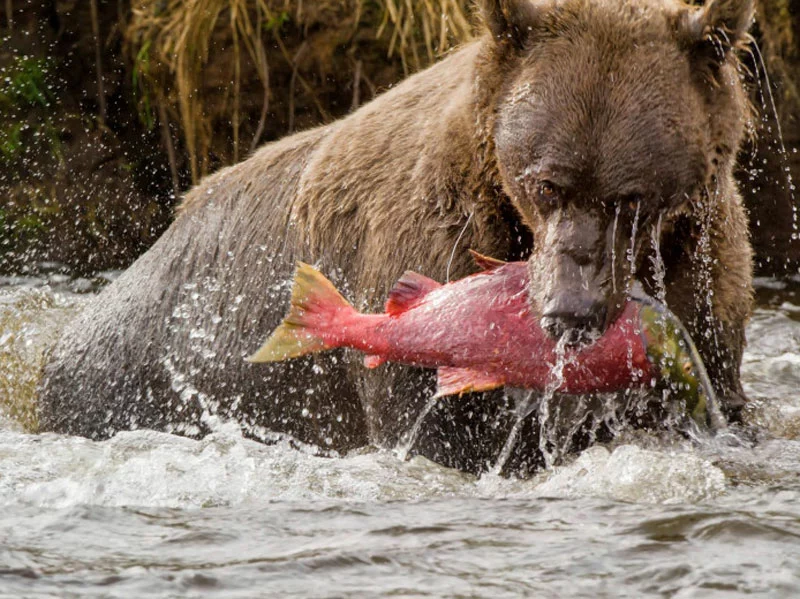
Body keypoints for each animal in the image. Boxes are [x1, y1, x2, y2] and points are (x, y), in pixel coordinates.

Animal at [37, 1, 752, 478]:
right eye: (547, 184)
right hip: (138, 381)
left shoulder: (701, 271)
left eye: (629, 197)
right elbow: (438, 429)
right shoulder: (427, 244)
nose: (569, 314)